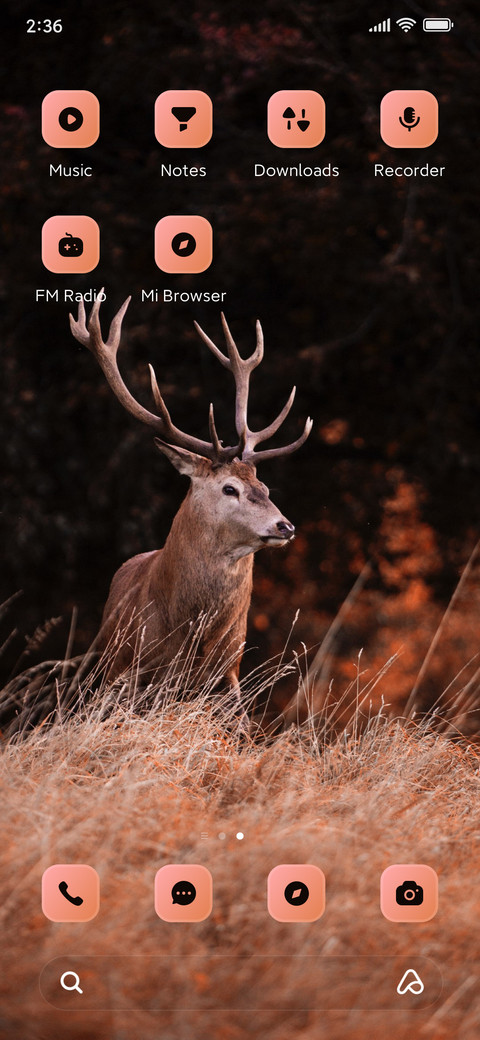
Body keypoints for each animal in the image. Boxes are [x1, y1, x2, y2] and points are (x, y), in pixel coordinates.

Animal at [69, 295, 312, 729]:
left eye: (265, 488)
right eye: (229, 488)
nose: (285, 526)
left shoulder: (228, 671)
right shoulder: (132, 669)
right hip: (106, 662)